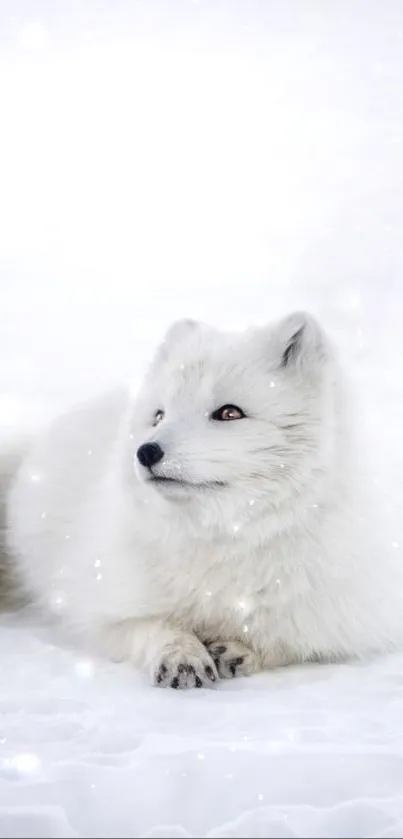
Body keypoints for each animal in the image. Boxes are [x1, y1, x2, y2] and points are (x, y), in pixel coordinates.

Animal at [3, 312, 403, 684]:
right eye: (159, 416)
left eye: (229, 412)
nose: (145, 452)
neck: (226, 539)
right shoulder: (104, 611)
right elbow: (153, 626)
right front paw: (181, 655)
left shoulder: (349, 621)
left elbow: (290, 643)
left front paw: (240, 651)